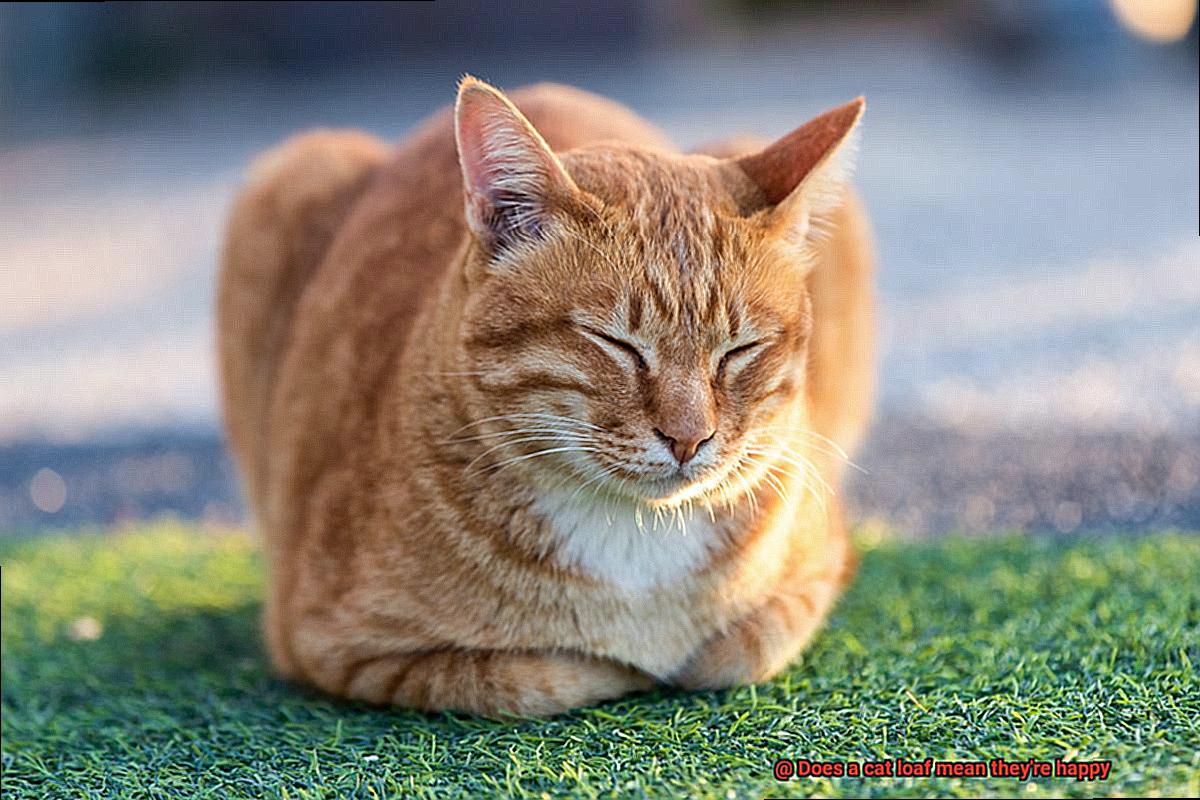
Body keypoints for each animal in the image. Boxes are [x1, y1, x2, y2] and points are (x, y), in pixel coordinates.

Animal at [218, 74, 873, 714]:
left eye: (739, 349)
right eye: (616, 343)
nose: (689, 438)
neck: (636, 539)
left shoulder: (814, 577)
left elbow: (741, 649)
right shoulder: (336, 646)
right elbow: (544, 676)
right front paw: (623, 665)